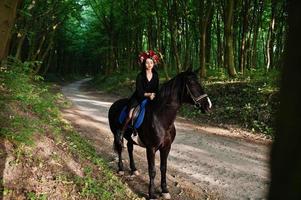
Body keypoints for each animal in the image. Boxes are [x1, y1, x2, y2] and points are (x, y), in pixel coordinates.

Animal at [108, 68, 211, 199]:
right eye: (192, 83)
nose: (208, 105)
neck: (160, 118)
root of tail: (114, 104)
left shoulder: (166, 147)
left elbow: (163, 168)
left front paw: (165, 190)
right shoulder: (151, 148)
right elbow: (152, 170)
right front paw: (151, 194)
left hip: (129, 137)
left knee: (130, 149)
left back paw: (134, 169)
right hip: (116, 134)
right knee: (120, 148)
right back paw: (121, 169)